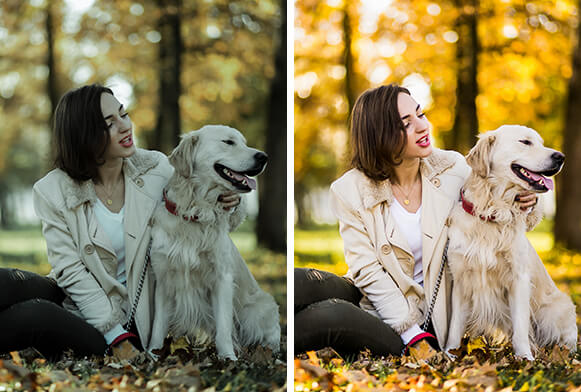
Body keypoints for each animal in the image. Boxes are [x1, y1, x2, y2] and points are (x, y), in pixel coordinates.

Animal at [150, 124, 280, 360]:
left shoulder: (222, 278)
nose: (264, 157)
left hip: (258, 309)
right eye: (228, 142)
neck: (195, 212)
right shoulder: (164, 278)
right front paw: (151, 354)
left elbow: (224, 327)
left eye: (244, 142)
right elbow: (157, 326)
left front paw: (228, 358)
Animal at [444, 124, 576, 360]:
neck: (492, 212)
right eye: (525, 142)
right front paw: (449, 355)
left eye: (541, 143)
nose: (561, 157)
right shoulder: (461, 279)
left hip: (557, 309)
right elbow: (455, 326)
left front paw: (525, 358)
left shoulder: (518, 278)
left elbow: (521, 327)